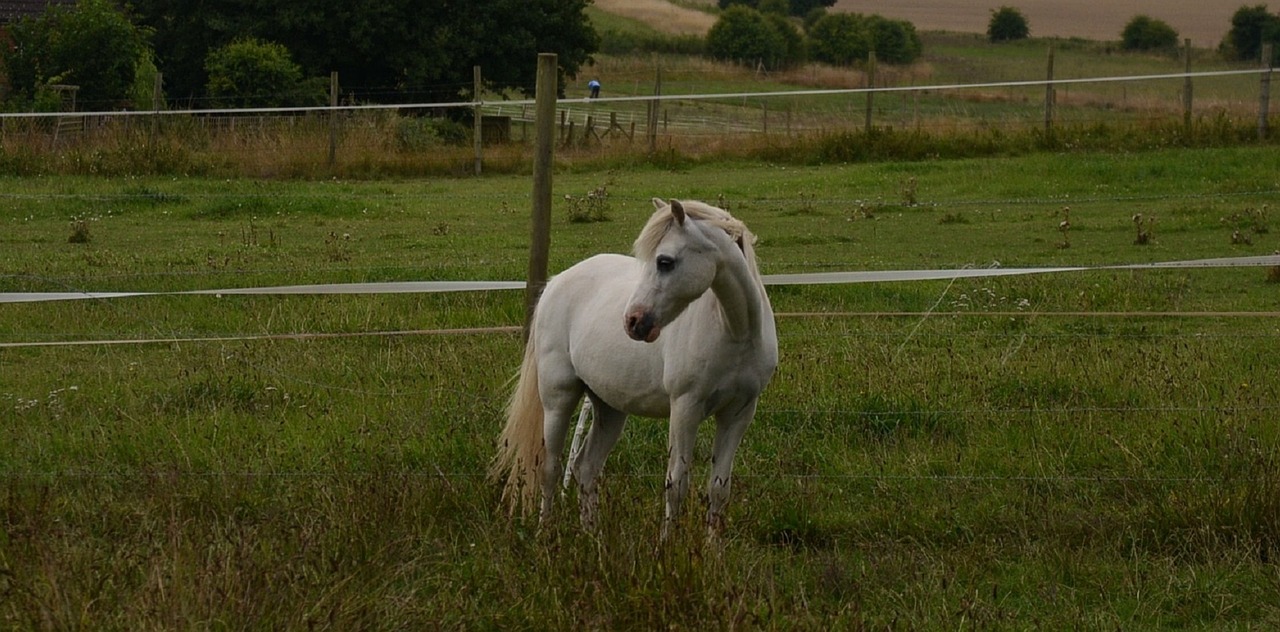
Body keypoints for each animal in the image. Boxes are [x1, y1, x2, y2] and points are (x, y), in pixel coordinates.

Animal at [488, 199, 773, 534]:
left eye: (664, 261)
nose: (633, 321)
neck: (735, 331)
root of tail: (556, 283)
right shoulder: (685, 408)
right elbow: (676, 485)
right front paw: (668, 545)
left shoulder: (739, 413)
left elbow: (718, 489)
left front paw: (712, 547)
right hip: (558, 398)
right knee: (550, 467)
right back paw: (545, 533)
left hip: (609, 408)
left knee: (585, 468)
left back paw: (592, 537)